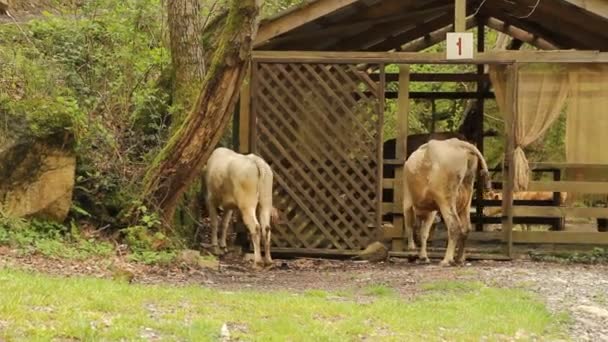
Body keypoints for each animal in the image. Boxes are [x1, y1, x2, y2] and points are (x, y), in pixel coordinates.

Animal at [402, 138, 492, 266]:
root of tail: (458, 143)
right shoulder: (431, 212)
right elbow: (424, 232)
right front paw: (423, 256)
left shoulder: (407, 202)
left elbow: (410, 227)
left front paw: (411, 253)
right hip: (466, 199)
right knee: (466, 228)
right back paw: (459, 259)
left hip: (445, 199)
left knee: (454, 226)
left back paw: (446, 260)